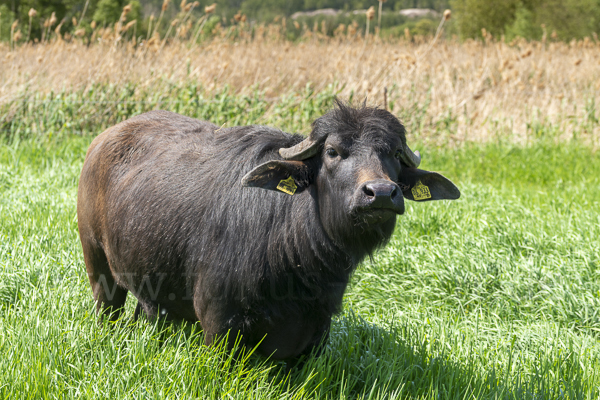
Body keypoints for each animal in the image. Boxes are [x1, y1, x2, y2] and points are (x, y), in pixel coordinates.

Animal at [76, 100, 460, 360]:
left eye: (394, 153)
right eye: (333, 151)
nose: (380, 193)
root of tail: (102, 141)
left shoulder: (318, 329)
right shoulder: (219, 321)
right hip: (97, 265)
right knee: (107, 305)